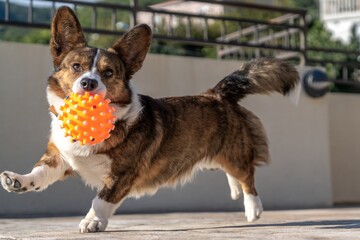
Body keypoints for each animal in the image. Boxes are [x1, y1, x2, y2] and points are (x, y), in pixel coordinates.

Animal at [0, 7, 298, 232]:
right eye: (76, 67)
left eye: (108, 73)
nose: (88, 83)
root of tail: (216, 93)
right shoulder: (60, 157)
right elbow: (40, 173)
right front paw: (18, 180)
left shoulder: (122, 174)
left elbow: (102, 199)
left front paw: (92, 221)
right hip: (218, 154)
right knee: (233, 173)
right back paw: (236, 192)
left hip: (234, 151)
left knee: (247, 174)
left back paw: (253, 208)